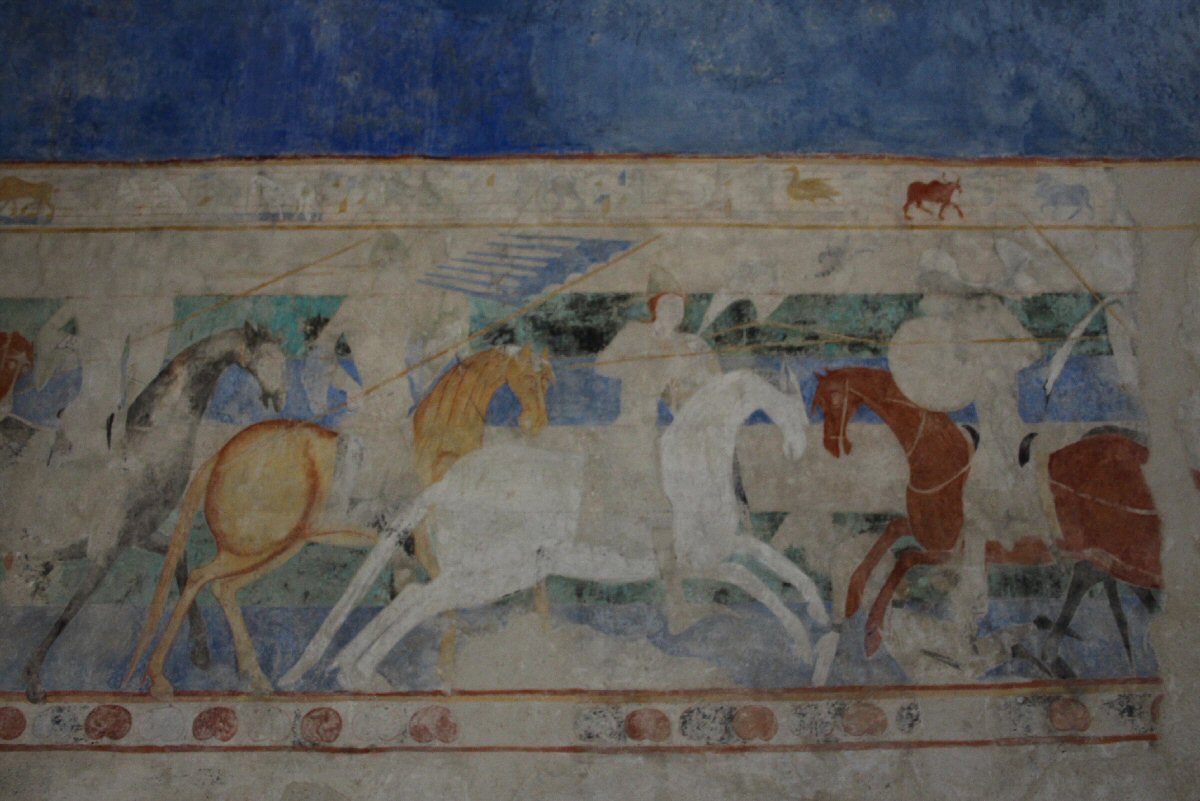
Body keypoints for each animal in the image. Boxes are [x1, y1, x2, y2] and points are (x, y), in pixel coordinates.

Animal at [16, 322, 287, 702]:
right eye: (266, 357)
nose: (280, 397)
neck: (144, 449)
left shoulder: (140, 534)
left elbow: (182, 568)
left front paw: (199, 651)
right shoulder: (104, 549)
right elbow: (69, 611)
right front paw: (33, 679)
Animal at [280, 370, 825, 691]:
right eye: (791, 406)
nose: (798, 451)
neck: (688, 464)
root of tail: (447, 484)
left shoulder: (725, 546)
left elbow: (779, 566)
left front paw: (819, 621)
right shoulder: (702, 560)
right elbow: (756, 581)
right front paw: (805, 640)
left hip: (491, 572)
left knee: (412, 599)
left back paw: (351, 670)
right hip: (495, 574)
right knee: (419, 601)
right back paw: (361, 673)